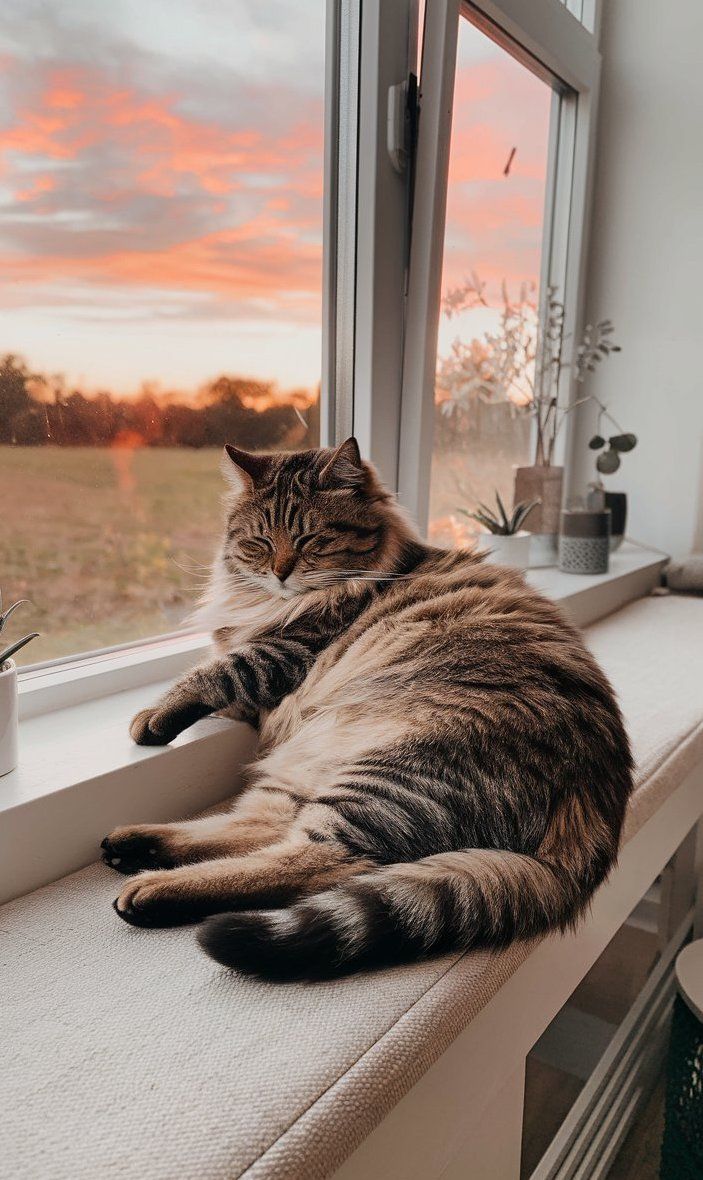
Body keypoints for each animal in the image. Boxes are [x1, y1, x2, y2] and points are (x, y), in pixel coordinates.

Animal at [103, 438, 632, 981]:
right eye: (260, 543)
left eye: (311, 539)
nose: (281, 574)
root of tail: (595, 819)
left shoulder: (282, 653)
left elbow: (214, 673)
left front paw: (150, 719)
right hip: (314, 763)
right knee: (261, 827)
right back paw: (137, 844)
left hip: (386, 774)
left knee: (317, 863)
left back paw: (153, 888)